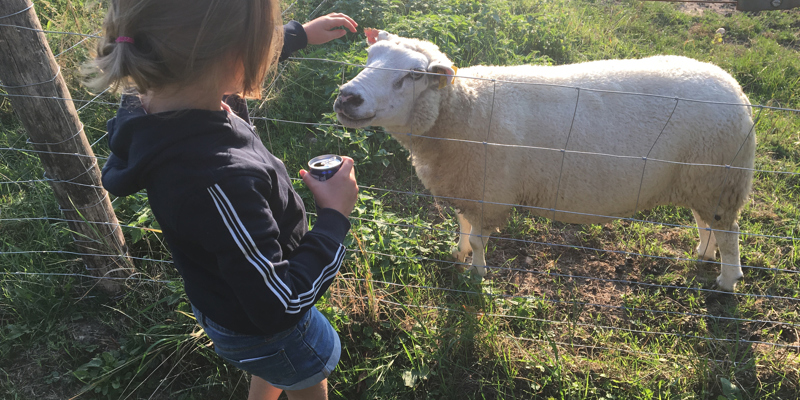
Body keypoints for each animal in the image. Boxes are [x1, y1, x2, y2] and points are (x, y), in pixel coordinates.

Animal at [336, 28, 756, 290]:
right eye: (369, 56)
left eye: (412, 75)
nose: (347, 98)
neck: (462, 107)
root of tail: (735, 89)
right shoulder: (465, 188)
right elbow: (463, 227)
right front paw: (459, 255)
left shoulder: (490, 192)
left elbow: (481, 239)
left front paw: (476, 274)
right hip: (699, 178)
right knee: (705, 222)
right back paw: (703, 255)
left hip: (720, 178)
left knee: (729, 232)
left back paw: (727, 280)